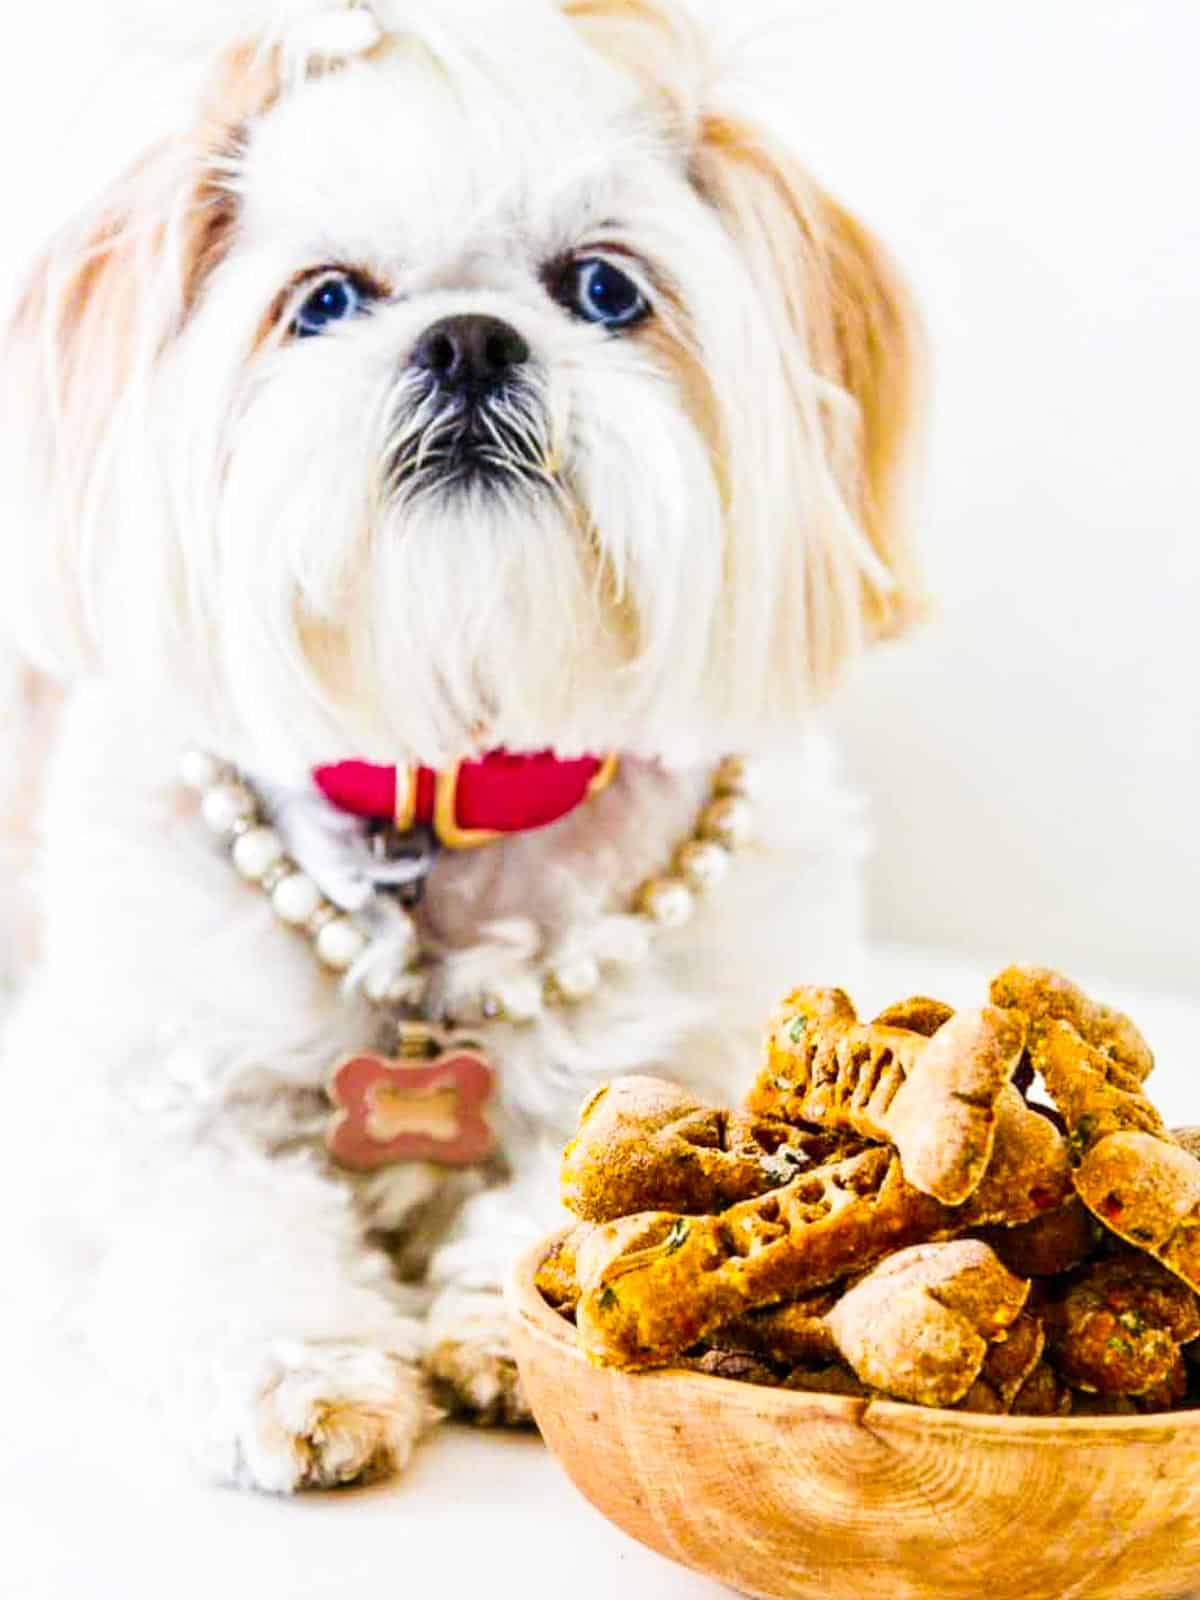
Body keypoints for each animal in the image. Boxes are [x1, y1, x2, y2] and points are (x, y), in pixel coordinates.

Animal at [0, 0, 921, 1491]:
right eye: (326, 299)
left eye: (602, 289)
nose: (473, 341)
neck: (456, 765)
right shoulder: (133, 1094)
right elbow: (217, 1215)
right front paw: (305, 1369)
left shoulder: (720, 1030)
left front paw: (511, 1317)